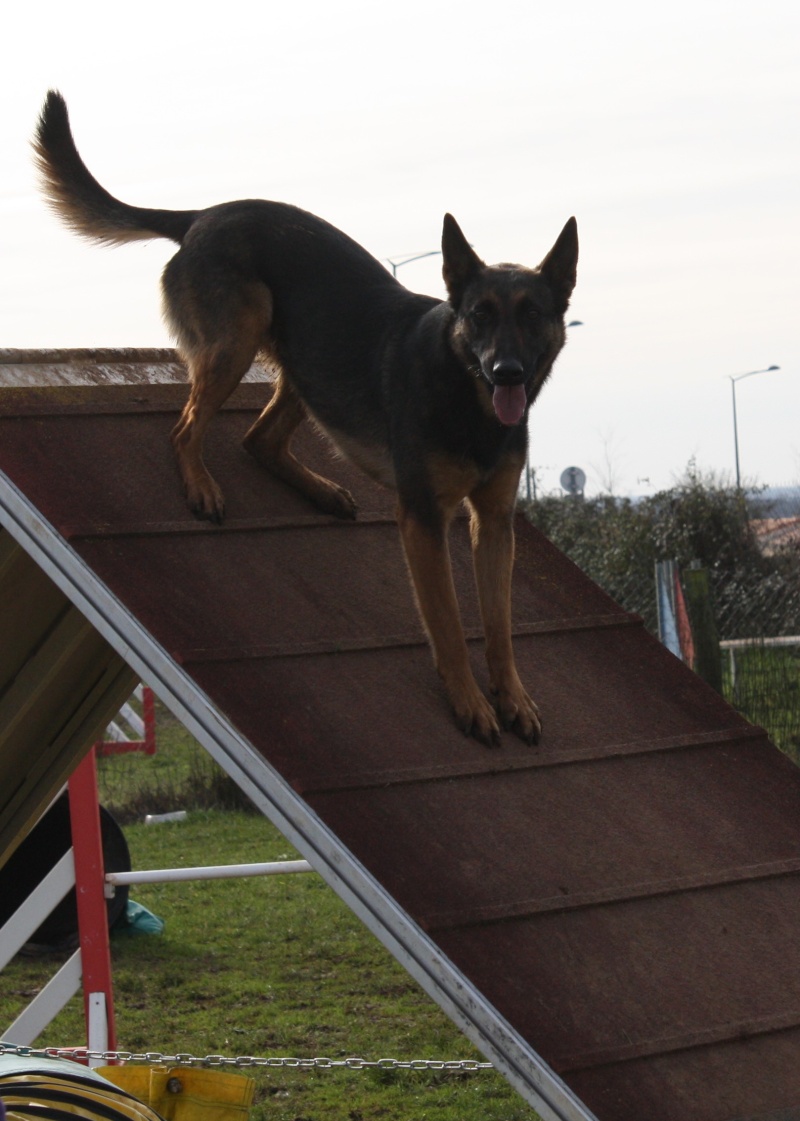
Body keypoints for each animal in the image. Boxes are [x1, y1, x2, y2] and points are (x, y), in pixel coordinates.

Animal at [34, 91, 578, 748]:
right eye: (480, 315)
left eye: (532, 315)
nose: (507, 372)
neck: (464, 392)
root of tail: (203, 215)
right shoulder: (424, 520)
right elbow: (448, 623)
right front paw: (471, 703)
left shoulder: (494, 522)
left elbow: (500, 625)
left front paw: (512, 697)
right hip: (240, 339)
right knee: (185, 428)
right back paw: (201, 487)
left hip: (307, 366)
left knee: (256, 440)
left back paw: (319, 490)